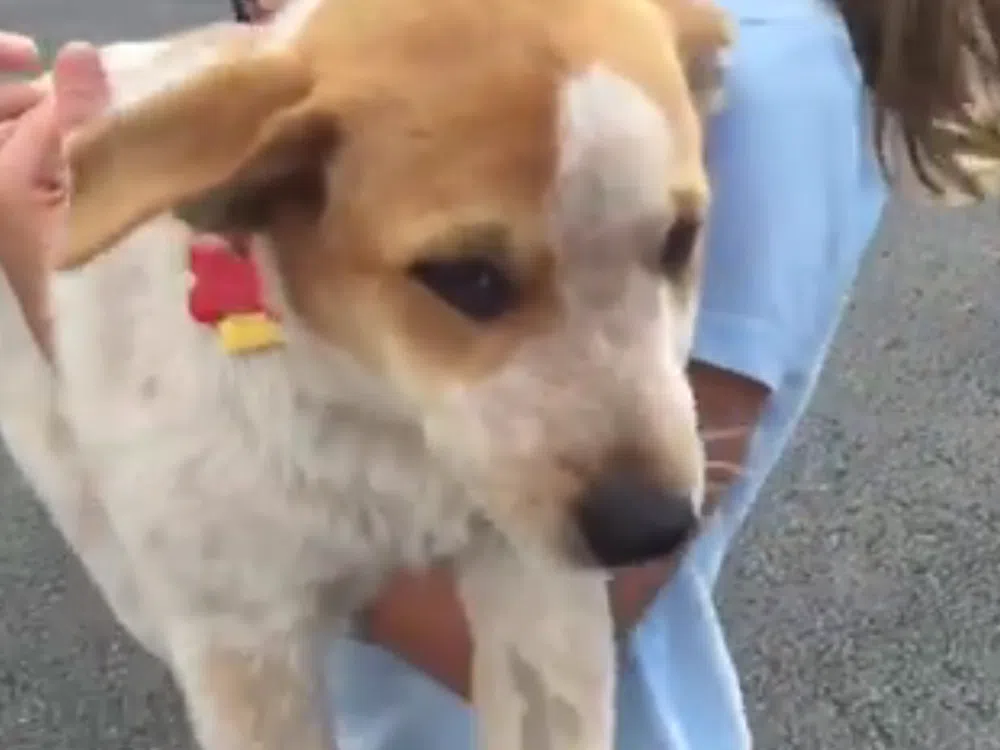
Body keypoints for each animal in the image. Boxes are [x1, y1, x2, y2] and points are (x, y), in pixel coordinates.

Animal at [0, 0, 732, 748]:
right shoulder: (246, 642)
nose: (652, 530)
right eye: (466, 277)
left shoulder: (538, 590)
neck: (372, 413)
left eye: (680, 239)